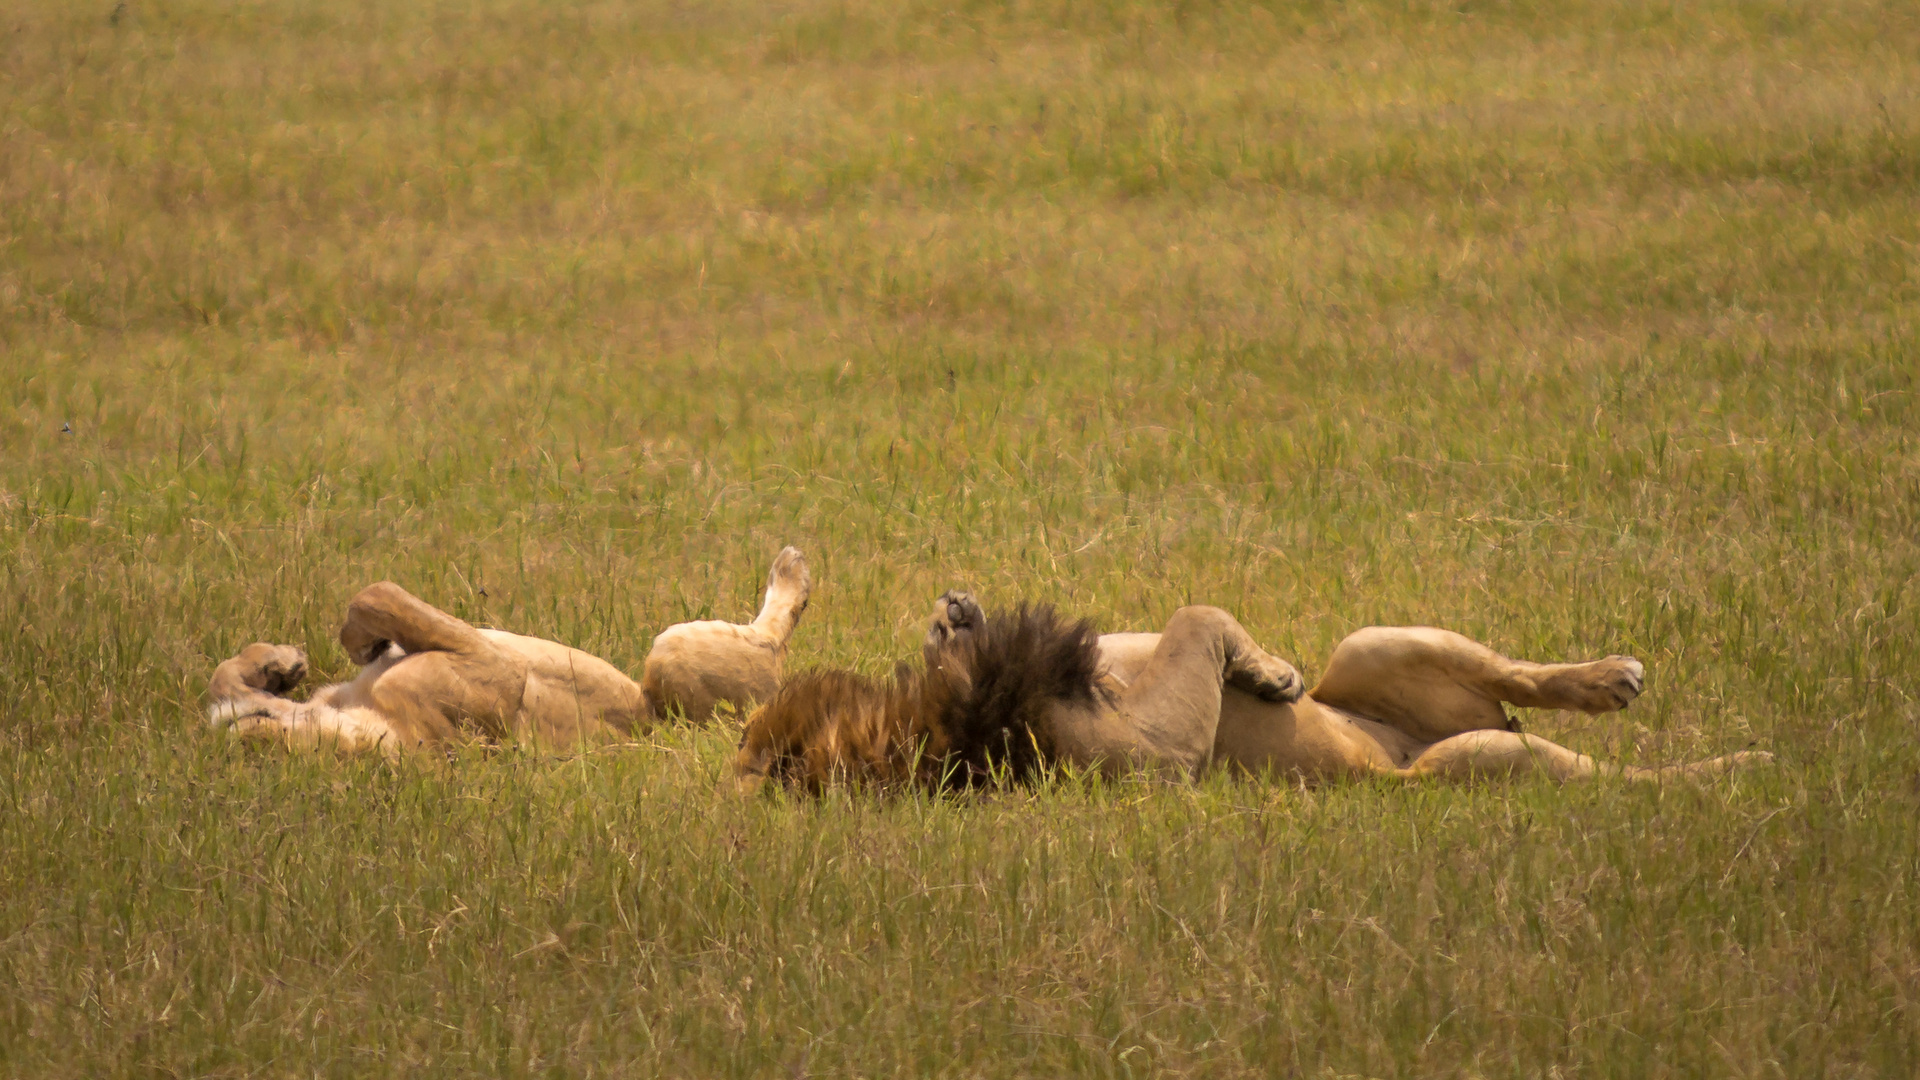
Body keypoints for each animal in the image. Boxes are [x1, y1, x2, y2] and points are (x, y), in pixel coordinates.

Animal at [210, 541, 810, 753]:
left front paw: (278, 664)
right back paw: (793, 571)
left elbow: (219, 675)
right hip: (673, 656)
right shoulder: (491, 665)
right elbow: (377, 592)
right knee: (771, 642)